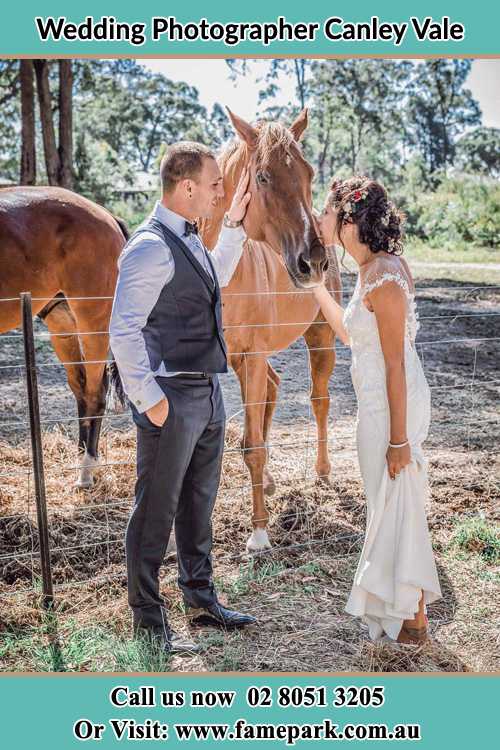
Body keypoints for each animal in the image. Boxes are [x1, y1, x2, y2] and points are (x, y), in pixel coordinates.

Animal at [0, 188, 126, 488]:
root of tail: (108, 217)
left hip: (93, 324)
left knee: (95, 392)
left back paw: (86, 469)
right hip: (62, 324)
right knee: (81, 388)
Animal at [201, 107, 342, 552]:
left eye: (309, 172)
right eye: (262, 177)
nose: (312, 261)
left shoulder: (253, 356)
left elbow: (252, 447)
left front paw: (259, 532)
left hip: (320, 340)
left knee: (319, 401)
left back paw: (322, 471)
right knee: (275, 389)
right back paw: (271, 481)